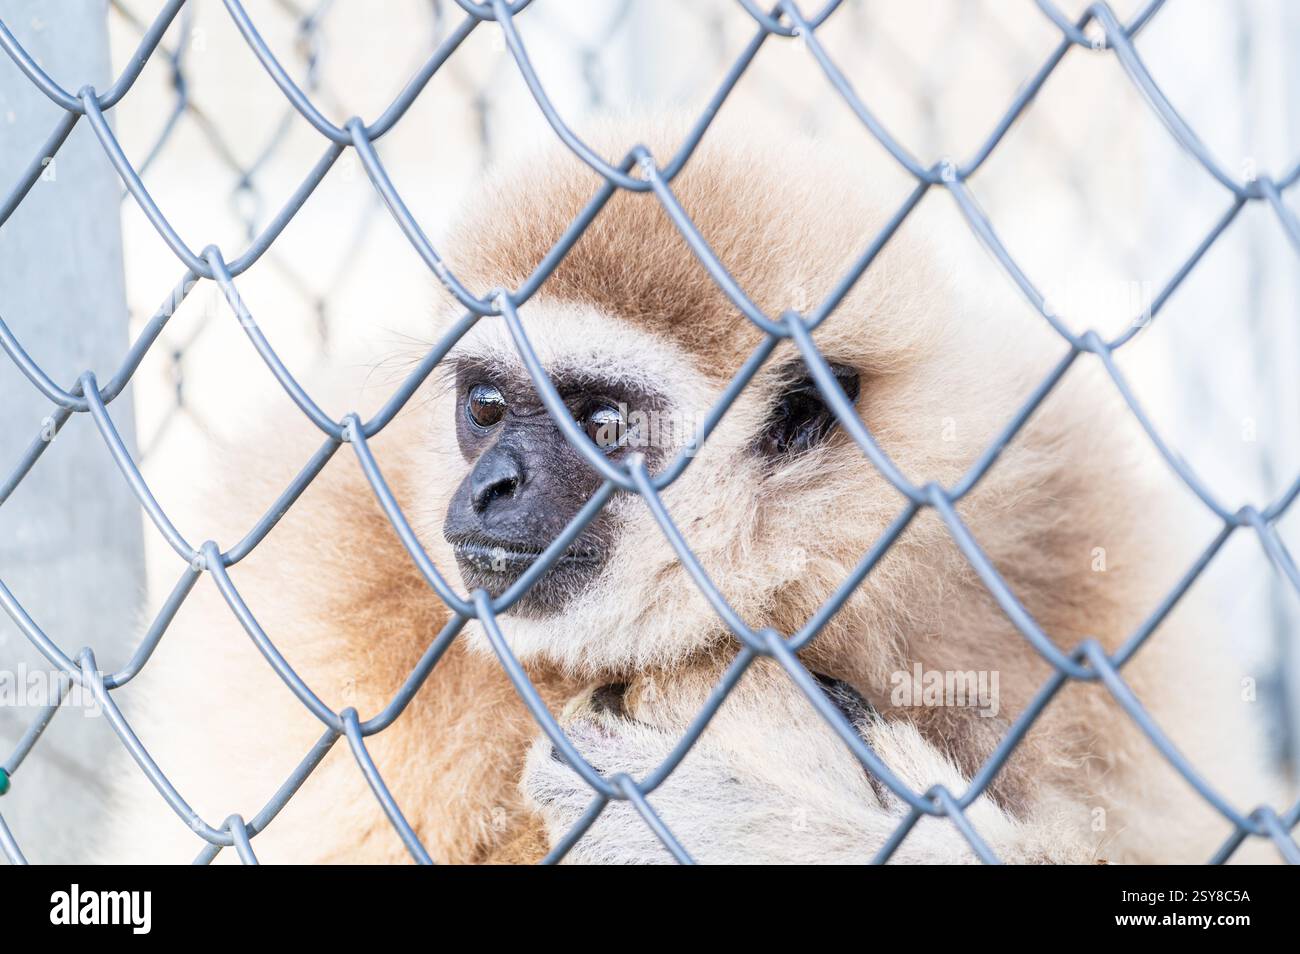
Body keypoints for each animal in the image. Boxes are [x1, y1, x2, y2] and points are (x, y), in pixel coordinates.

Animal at [97, 118, 1275, 864]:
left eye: (600, 425)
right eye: (488, 406)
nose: (490, 487)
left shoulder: (1065, 537)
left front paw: (758, 822)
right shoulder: (328, 574)